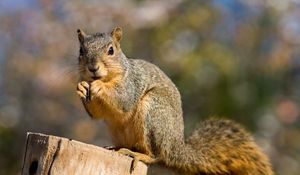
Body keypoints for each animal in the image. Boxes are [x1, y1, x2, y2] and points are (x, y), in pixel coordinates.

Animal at [76, 27, 274, 175]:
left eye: (111, 50)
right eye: (81, 51)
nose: (93, 68)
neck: (111, 76)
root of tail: (175, 147)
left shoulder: (131, 84)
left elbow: (123, 99)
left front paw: (99, 86)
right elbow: (97, 113)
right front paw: (82, 87)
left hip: (154, 113)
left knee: (156, 155)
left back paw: (137, 154)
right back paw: (115, 148)